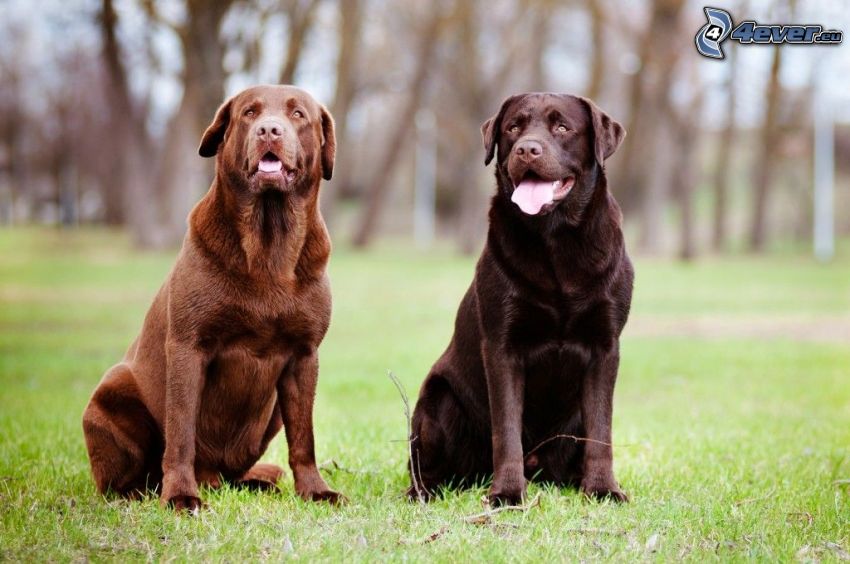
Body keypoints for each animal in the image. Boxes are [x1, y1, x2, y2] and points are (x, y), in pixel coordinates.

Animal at [82, 85, 342, 512]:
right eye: (250, 112)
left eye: (298, 114)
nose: (269, 130)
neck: (269, 245)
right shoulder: (188, 347)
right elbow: (181, 433)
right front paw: (180, 496)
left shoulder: (305, 355)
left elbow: (304, 437)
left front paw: (315, 490)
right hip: (112, 391)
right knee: (124, 477)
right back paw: (147, 491)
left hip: (270, 413)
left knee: (237, 472)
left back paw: (254, 483)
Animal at [408, 92, 632, 506]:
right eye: (513, 127)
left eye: (562, 127)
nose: (527, 148)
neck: (556, 241)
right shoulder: (502, 346)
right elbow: (507, 430)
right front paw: (508, 494)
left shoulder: (605, 346)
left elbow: (601, 431)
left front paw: (603, 488)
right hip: (439, 398)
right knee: (424, 464)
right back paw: (423, 492)